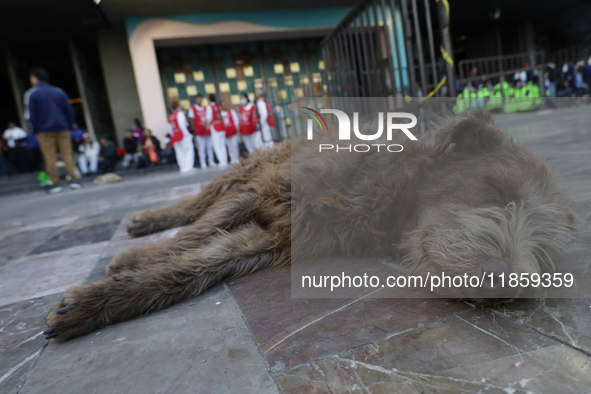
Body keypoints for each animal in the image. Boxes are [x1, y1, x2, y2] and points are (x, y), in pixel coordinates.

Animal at [45, 111, 580, 342]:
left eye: (544, 251)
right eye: (496, 189)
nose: (507, 283)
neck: (386, 200)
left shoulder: (276, 237)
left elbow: (203, 263)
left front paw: (101, 301)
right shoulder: (268, 193)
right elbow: (198, 234)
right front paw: (130, 263)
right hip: (251, 168)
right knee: (200, 202)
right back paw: (145, 221)